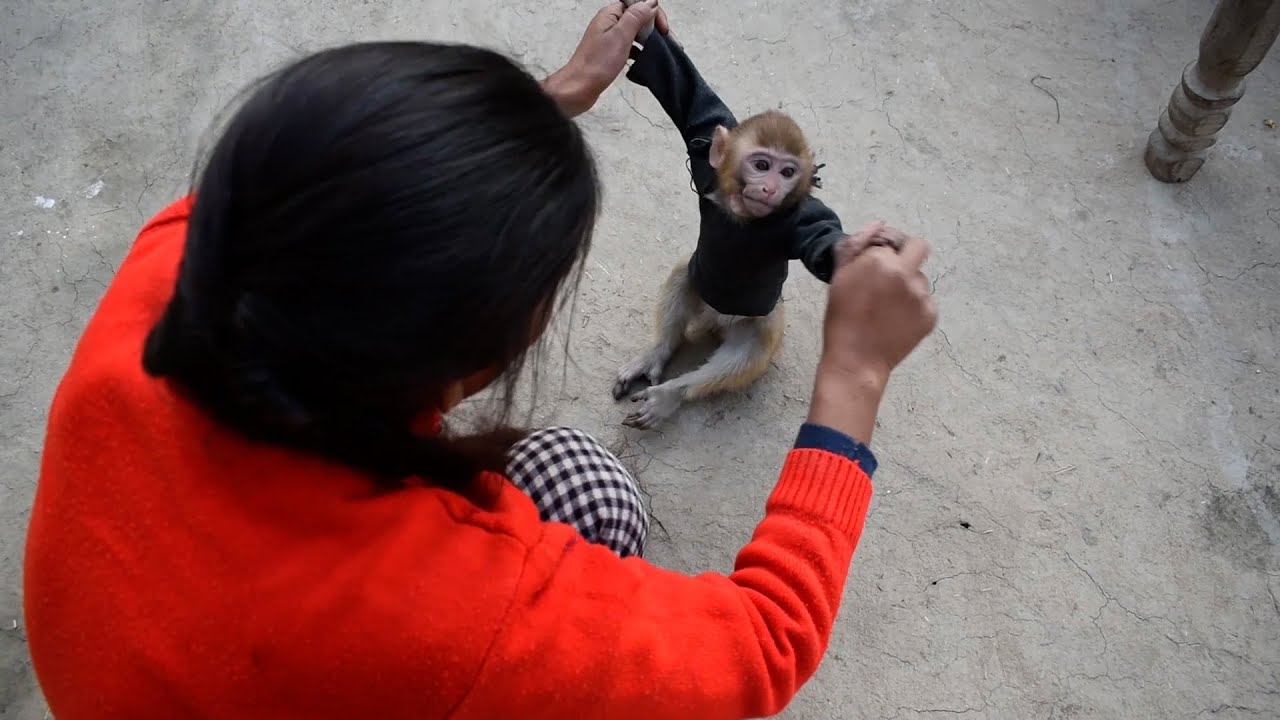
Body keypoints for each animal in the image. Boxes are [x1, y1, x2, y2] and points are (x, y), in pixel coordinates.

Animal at [612, 23, 892, 429]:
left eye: (787, 172)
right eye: (762, 165)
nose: (770, 188)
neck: (744, 217)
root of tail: (715, 320)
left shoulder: (797, 221)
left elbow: (819, 236)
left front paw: (852, 250)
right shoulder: (706, 161)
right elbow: (690, 97)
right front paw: (646, 27)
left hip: (760, 321)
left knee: (750, 349)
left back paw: (672, 394)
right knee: (685, 271)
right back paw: (657, 353)